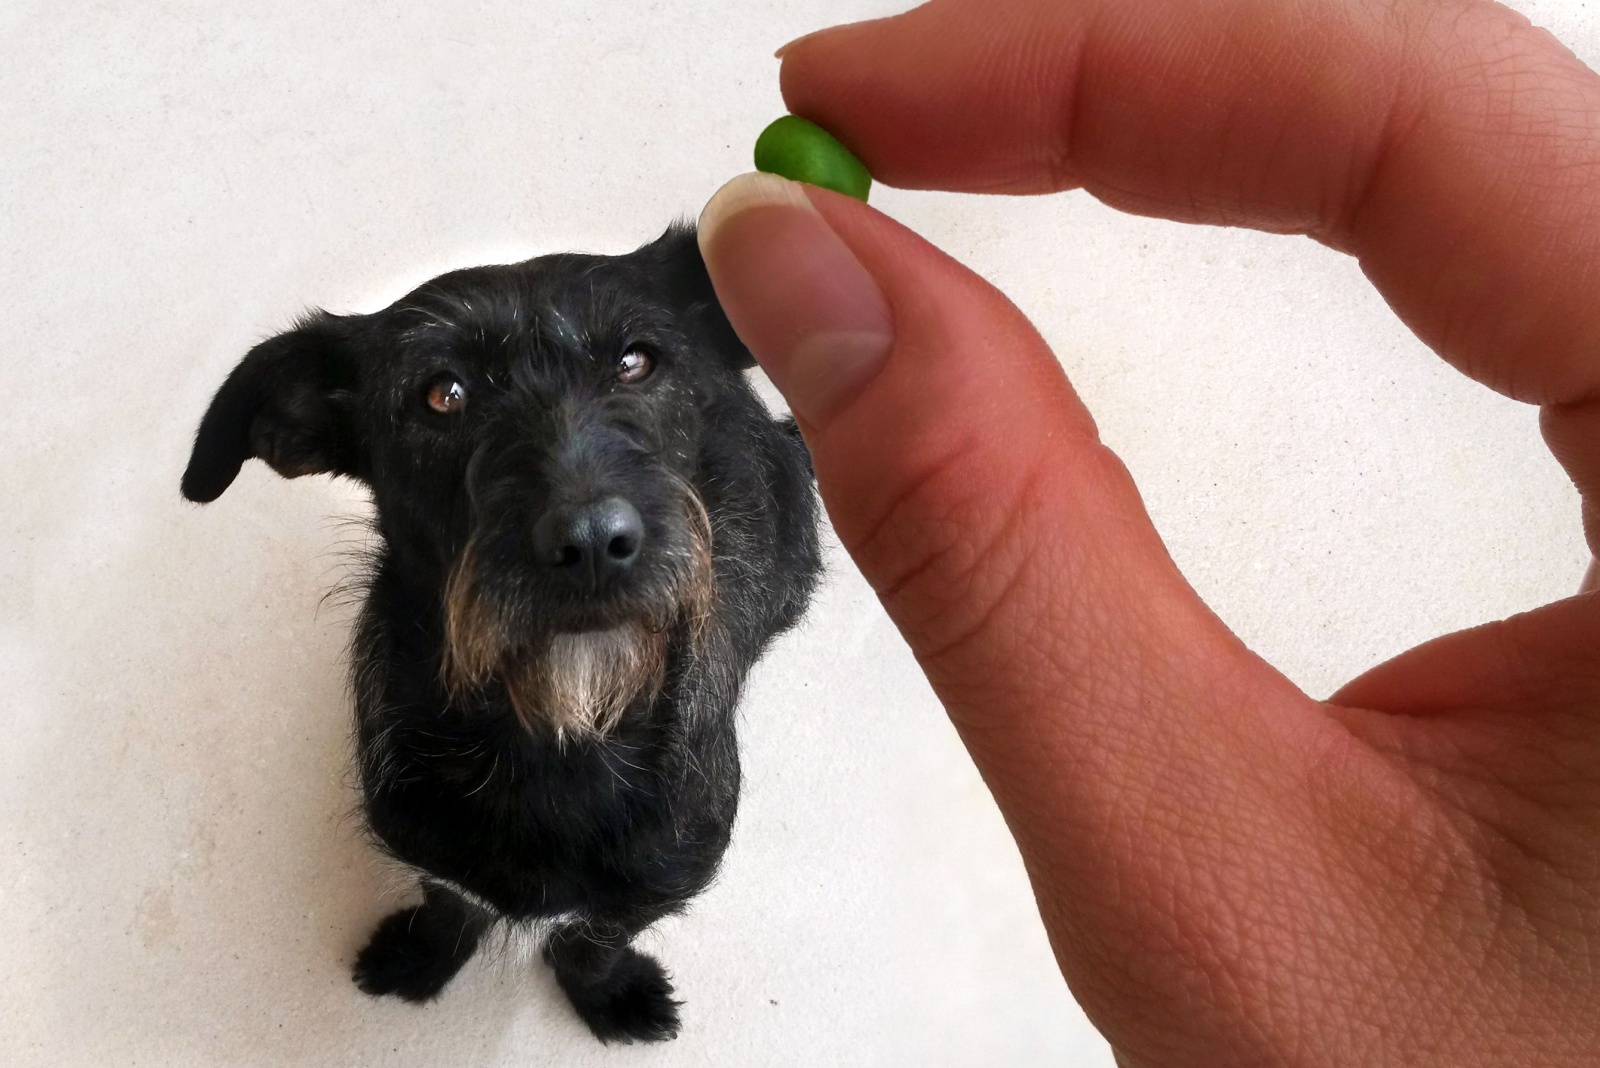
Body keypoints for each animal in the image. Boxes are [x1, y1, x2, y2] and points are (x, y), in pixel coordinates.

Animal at [181, 227, 819, 1042]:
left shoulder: (657, 885)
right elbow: (449, 905)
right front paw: (422, 958)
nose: (592, 541)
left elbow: (593, 939)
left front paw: (610, 994)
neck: (554, 731)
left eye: (636, 361)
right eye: (442, 394)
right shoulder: (429, 849)